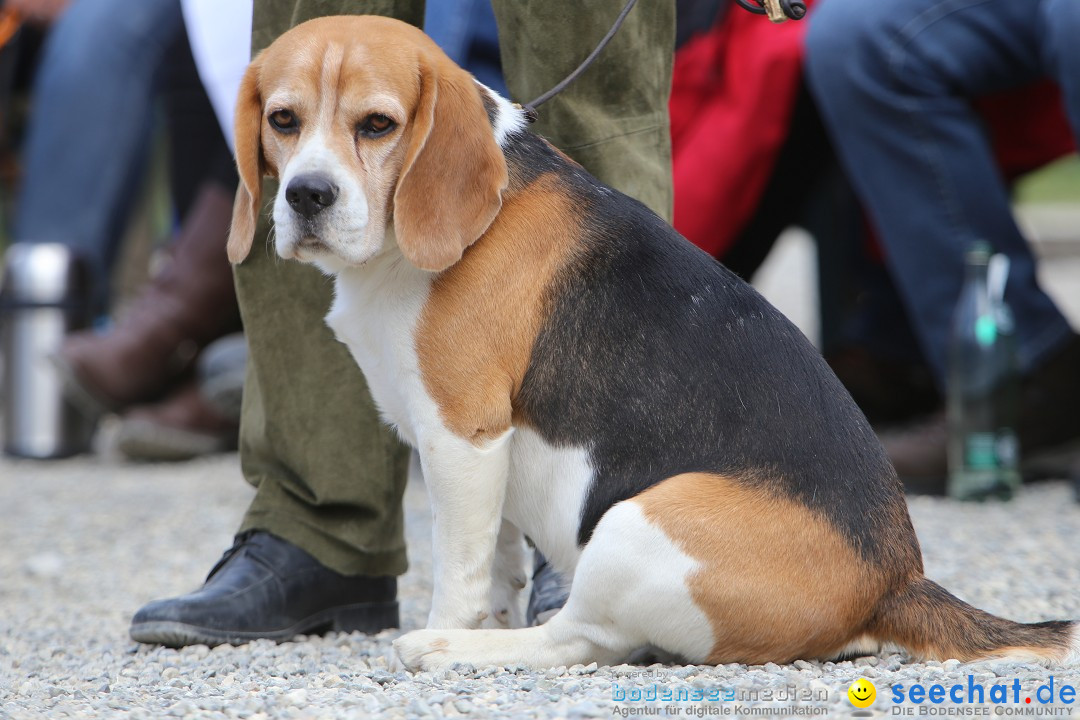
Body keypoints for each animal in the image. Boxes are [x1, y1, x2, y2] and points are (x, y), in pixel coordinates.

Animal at [223, 15, 1075, 669]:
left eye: (377, 124)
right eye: (283, 119)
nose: (307, 195)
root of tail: (894, 581)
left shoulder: (462, 434)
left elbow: (460, 570)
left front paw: (454, 630)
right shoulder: (475, 455)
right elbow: (498, 562)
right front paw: (489, 612)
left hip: (638, 521)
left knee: (579, 642)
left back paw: (451, 651)